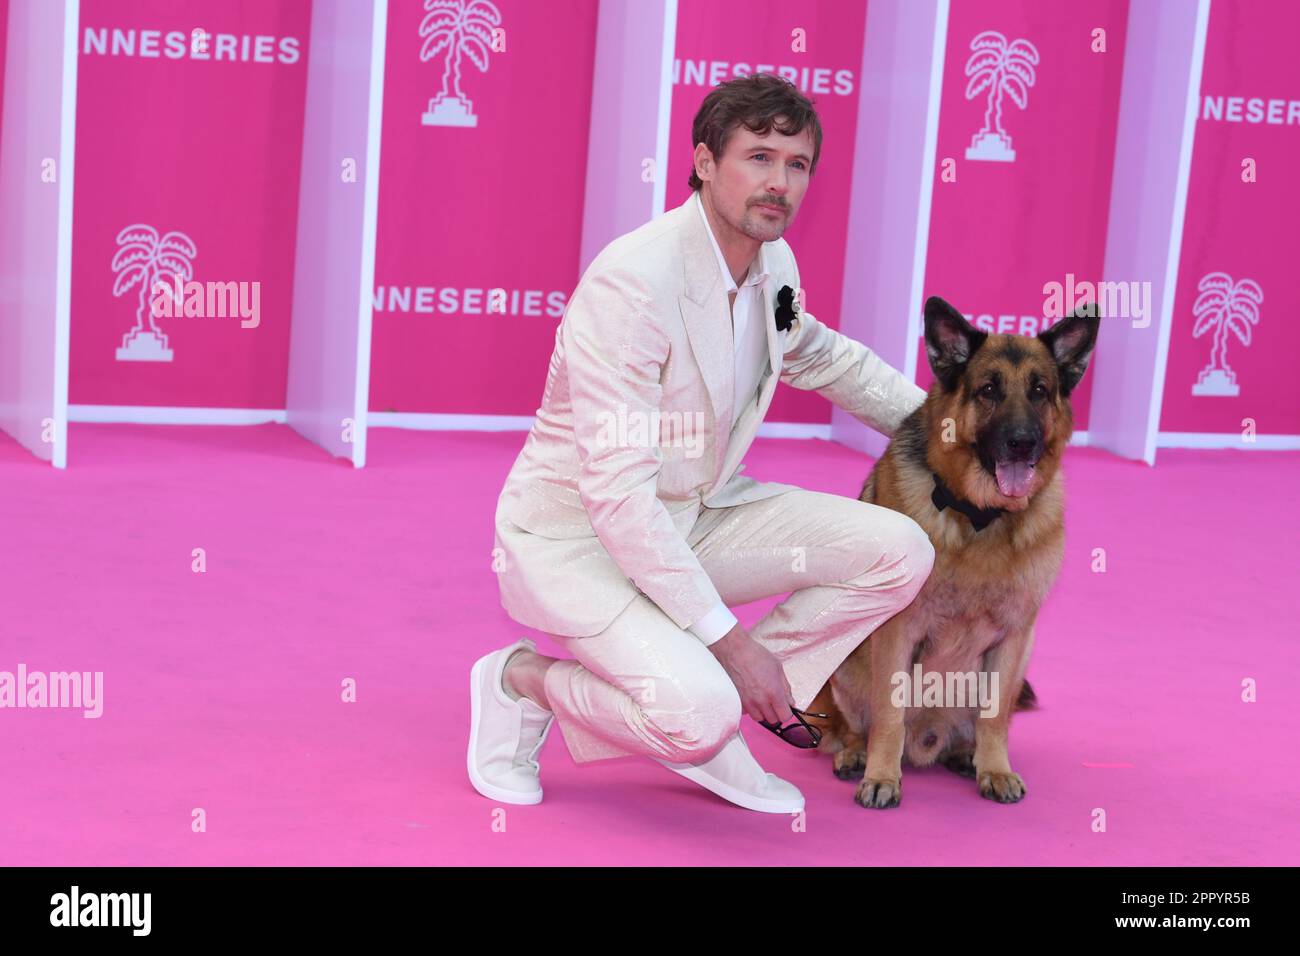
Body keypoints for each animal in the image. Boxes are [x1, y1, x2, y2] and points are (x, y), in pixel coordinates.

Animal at [811, 297, 1097, 806]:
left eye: (1039, 391)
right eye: (988, 390)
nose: (1022, 443)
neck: (979, 515)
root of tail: (928, 741)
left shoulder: (1013, 637)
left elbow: (995, 716)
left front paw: (995, 768)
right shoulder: (898, 632)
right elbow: (888, 715)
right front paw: (882, 777)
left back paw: (967, 754)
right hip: (847, 661)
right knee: (854, 727)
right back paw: (857, 753)